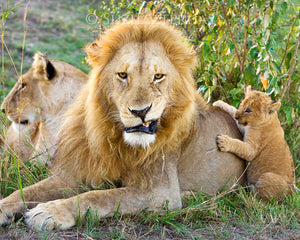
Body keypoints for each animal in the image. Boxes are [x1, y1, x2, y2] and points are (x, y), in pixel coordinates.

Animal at [0, 19, 244, 230]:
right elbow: (27, 191)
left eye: (158, 76)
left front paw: (50, 212)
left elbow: (99, 197)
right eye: (122, 75)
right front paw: (4, 207)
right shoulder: (74, 174)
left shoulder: (162, 192)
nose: (140, 111)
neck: (116, 138)